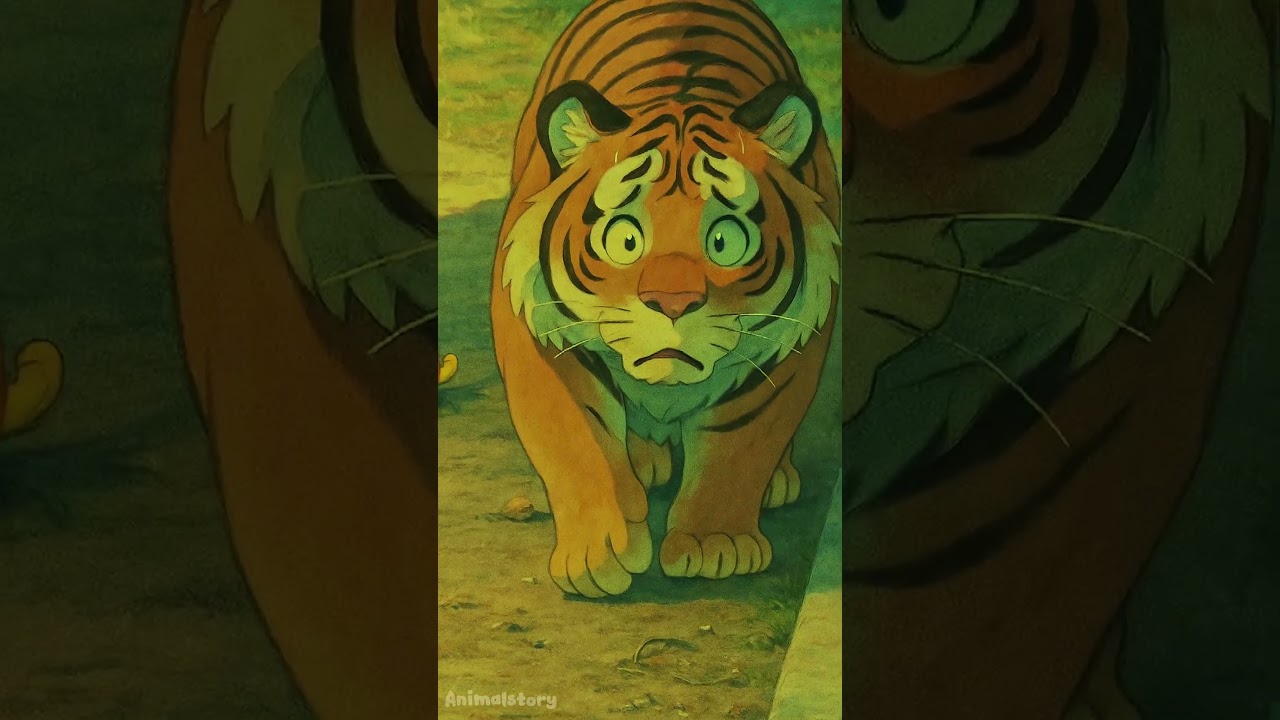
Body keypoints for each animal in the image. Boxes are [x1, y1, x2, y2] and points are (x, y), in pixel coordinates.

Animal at [492, 0, 841, 598]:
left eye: (725, 241)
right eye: (625, 239)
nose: (672, 302)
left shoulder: (791, 347)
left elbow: (735, 447)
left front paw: (714, 545)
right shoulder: (540, 334)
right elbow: (580, 442)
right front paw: (597, 553)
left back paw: (777, 479)